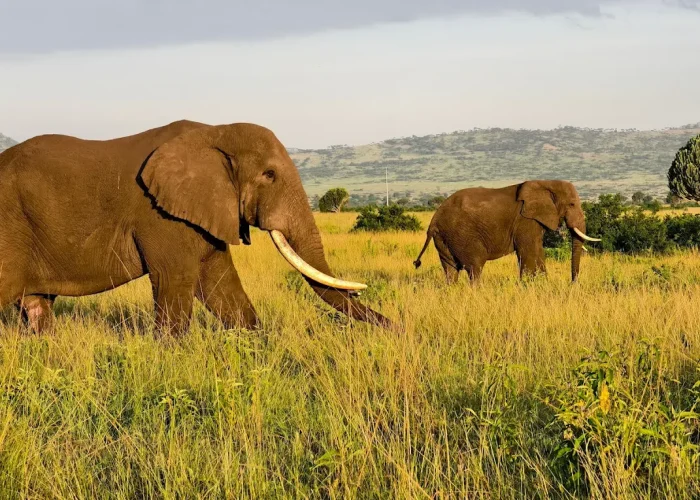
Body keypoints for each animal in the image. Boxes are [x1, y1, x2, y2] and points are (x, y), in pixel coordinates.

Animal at [0, 120, 393, 334]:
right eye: (269, 175)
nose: (399, 329)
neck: (215, 131)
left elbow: (221, 286)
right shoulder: (160, 216)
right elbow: (177, 281)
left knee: (37, 307)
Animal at [413, 180, 600, 283]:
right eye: (572, 204)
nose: (572, 283)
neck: (546, 183)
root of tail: (434, 220)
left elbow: (538, 250)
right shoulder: (525, 219)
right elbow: (529, 251)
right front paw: (530, 286)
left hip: (444, 238)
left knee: (451, 270)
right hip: (461, 235)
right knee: (474, 267)